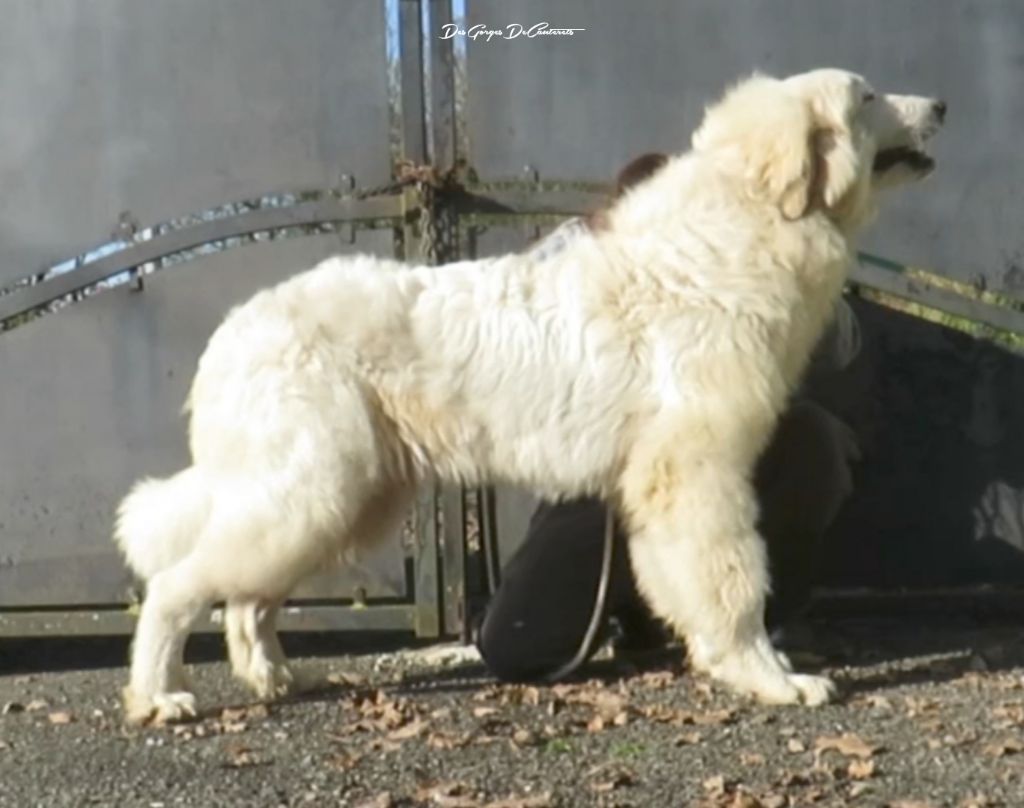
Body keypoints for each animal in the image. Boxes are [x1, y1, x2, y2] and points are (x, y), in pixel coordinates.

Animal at [112, 71, 942, 725]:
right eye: (866, 95)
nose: (940, 104)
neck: (738, 228)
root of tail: (236, 328)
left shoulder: (661, 487)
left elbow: (689, 580)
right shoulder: (697, 477)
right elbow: (733, 581)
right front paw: (768, 677)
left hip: (337, 499)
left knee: (248, 599)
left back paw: (272, 677)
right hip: (308, 491)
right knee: (178, 586)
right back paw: (160, 696)